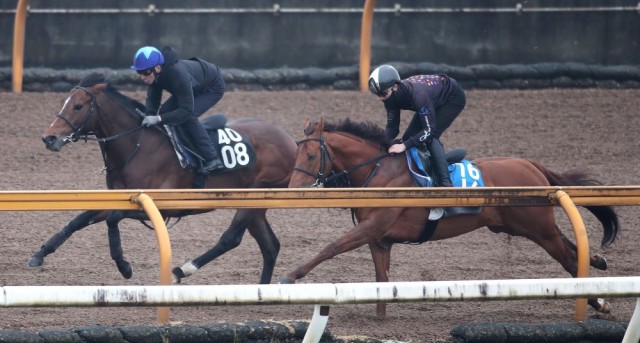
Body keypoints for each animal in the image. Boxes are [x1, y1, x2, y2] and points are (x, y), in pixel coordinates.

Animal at [31, 72, 298, 284]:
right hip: (254, 203)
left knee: (231, 238)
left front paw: (124, 266)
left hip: (255, 194)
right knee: (270, 247)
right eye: (64, 103)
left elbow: (113, 219)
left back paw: (181, 270)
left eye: (78, 106)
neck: (138, 147)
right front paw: (40, 253)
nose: (49, 138)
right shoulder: (119, 199)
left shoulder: (162, 206)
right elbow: (79, 219)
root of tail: (291, 141)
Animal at [282, 117, 620, 318]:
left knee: (568, 258)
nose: (291, 189)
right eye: (296, 154)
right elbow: (381, 278)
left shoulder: (373, 227)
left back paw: (598, 300)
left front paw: (291, 276)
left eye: (310, 156)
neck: (380, 173)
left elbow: (332, 247)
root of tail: (530, 164)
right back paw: (598, 263)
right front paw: (379, 316)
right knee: (571, 248)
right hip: (523, 226)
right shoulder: (380, 239)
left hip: (537, 227)